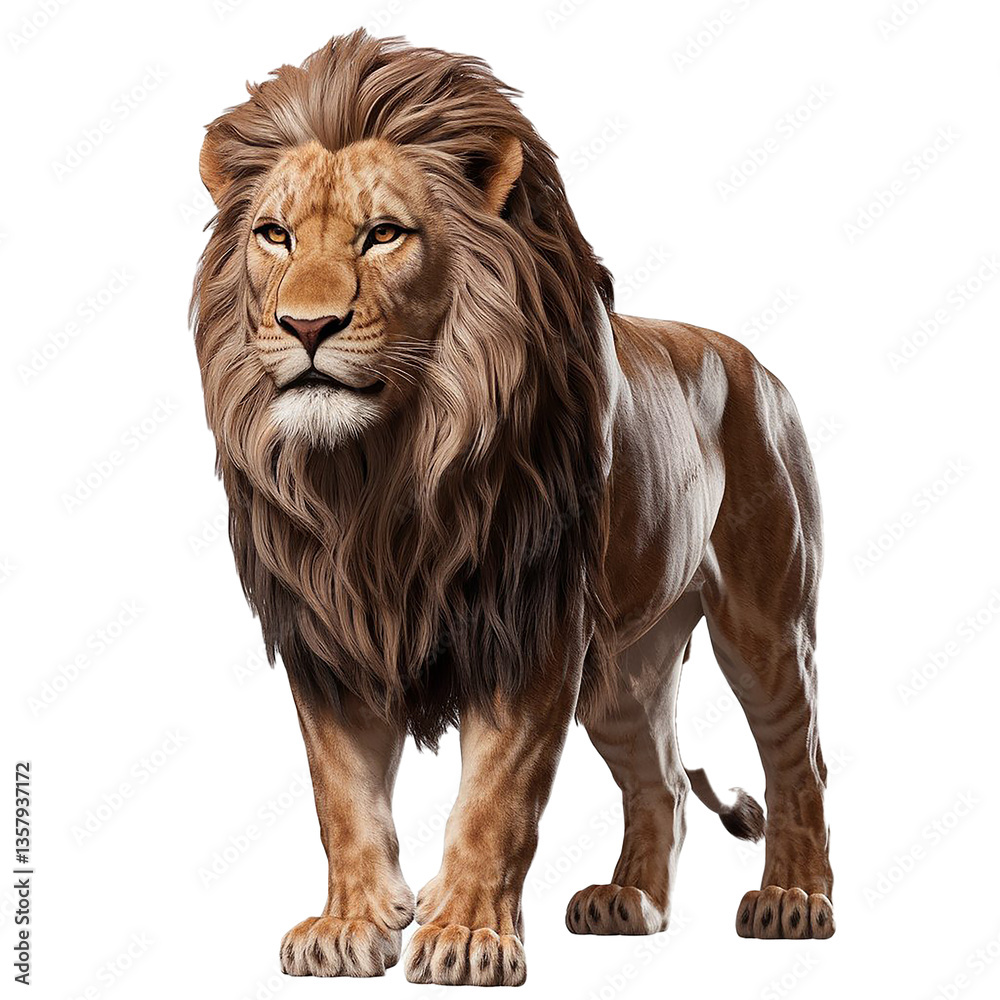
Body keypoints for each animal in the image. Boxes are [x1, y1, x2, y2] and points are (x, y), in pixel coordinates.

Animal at [192, 30, 834, 987]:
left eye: (383, 235)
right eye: (275, 235)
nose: (306, 327)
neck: (379, 474)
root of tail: (758, 366)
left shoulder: (531, 622)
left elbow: (495, 799)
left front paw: (465, 937)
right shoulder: (329, 633)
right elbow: (341, 796)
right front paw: (351, 924)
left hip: (766, 621)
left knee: (802, 758)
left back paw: (794, 899)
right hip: (627, 664)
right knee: (664, 783)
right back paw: (629, 902)